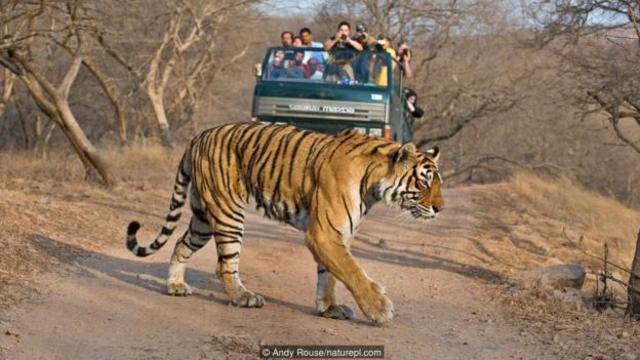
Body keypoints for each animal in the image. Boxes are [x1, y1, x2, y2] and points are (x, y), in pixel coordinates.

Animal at [127, 122, 442, 324]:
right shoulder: (324, 233)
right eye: (425, 181)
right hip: (228, 212)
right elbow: (351, 271)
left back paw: (175, 286)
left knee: (181, 243)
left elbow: (329, 274)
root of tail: (198, 136)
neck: (374, 184)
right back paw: (243, 297)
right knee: (224, 264)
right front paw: (380, 310)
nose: (440, 209)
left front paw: (329, 309)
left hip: (203, 218)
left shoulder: (336, 234)